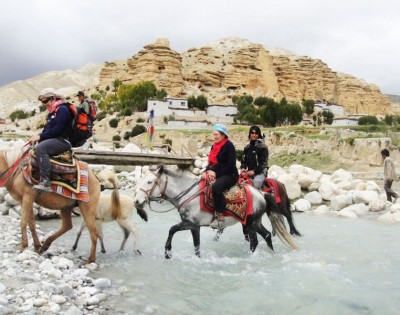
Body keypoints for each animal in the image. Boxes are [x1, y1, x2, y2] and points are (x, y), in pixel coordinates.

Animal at [133, 165, 296, 260]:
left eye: (149, 182)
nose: (137, 201)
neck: (187, 193)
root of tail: (261, 193)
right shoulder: (195, 227)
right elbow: (196, 245)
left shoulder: (190, 223)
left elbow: (172, 229)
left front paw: (168, 252)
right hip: (256, 222)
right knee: (267, 235)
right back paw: (271, 253)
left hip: (250, 223)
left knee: (254, 241)